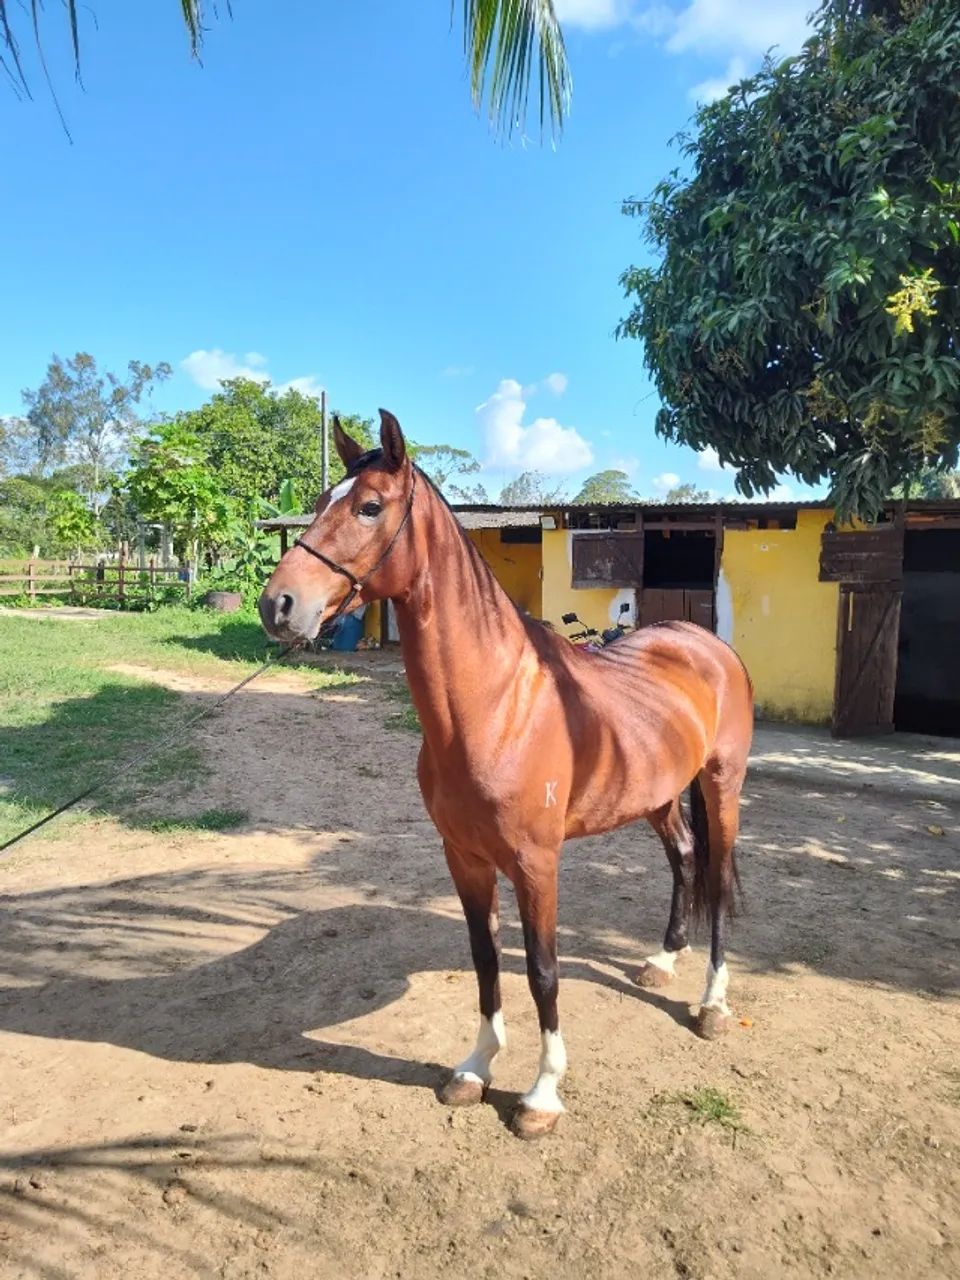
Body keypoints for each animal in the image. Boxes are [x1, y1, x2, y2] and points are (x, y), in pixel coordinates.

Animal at [258, 409, 754, 1141]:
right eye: (320, 503)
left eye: (370, 507)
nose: (279, 606)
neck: (496, 707)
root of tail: (706, 644)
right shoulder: (464, 856)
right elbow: (485, 958)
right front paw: (475, 1068)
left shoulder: (536, 863)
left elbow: (544, 971)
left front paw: (542, 1094)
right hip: (659, 795)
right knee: (685, 858)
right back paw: (663, 961)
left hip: (721, 785)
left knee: (716, 881)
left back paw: (713, 1006)